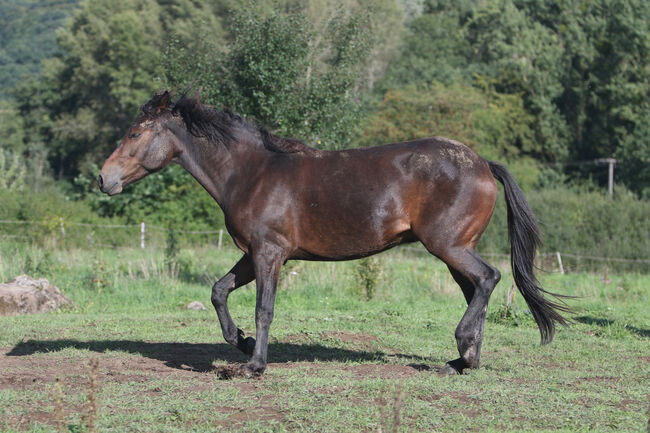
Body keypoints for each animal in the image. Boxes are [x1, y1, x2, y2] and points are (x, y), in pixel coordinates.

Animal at [97, 90, 568, 374]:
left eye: (135, 133)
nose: (103, 179)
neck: (252, 173)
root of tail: (484, 163)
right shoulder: (253, 253)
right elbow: (218, 291)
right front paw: (241, 343)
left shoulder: (269, 254)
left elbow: (264, 309)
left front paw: (254, 365)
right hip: (455, 251)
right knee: (477, 291)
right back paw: (463, 361)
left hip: (449, 246)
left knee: (489, 279)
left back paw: (463, 346)